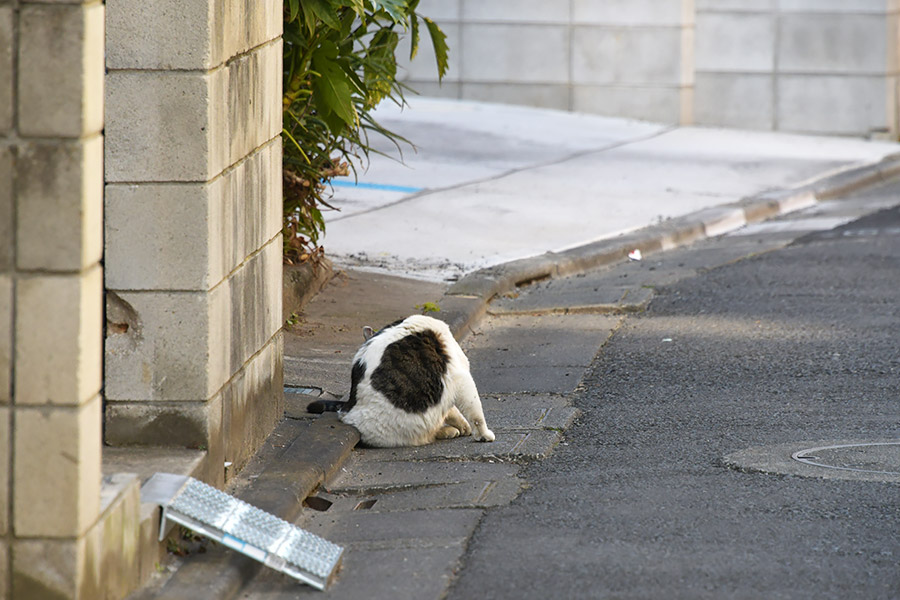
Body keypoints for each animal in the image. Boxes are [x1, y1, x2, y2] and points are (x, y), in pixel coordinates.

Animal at [326, 314, 496, 446]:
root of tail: (349, 415)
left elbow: (454, 411)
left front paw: (464, 427)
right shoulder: (460, 377)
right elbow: (476, 414)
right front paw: (483, 435)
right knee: (428, 433)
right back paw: (448, 431)